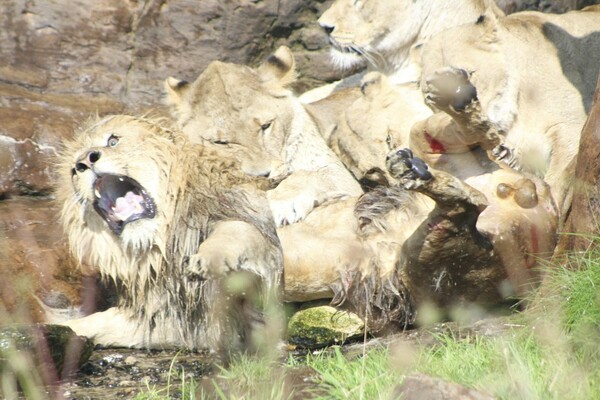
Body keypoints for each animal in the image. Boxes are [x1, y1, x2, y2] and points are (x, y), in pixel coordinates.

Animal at [54, 115, 284, 354]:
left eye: (113, 141)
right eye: (74, 170)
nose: (85, 161)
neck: (164, 245)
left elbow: (239, 231)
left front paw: (205, 261)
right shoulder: (170, 319)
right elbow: (95, 322)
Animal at [164, 45, 360, 227]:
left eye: (266, 126)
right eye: (220, 142)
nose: (263, 175)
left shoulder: (340, 174)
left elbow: (308, 174)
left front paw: (282, 204)